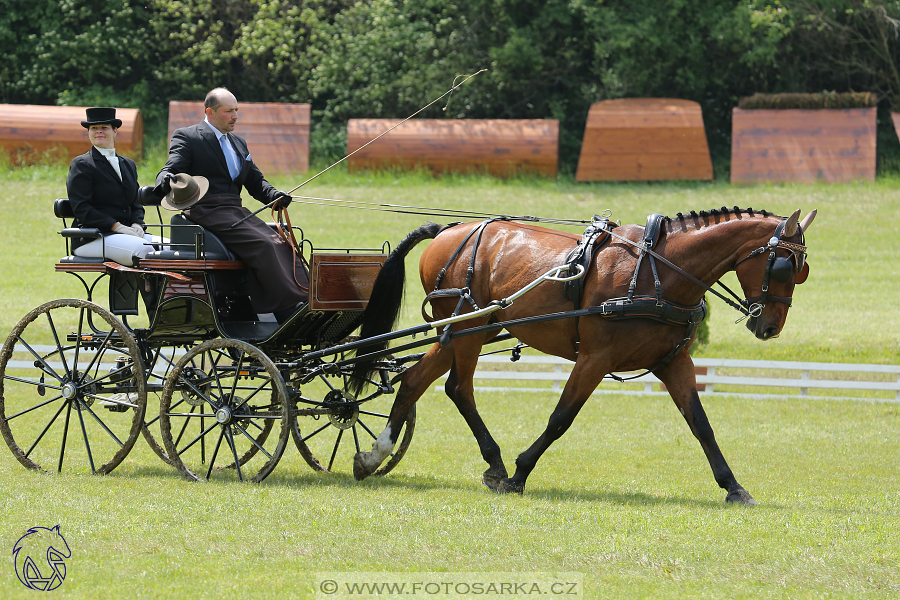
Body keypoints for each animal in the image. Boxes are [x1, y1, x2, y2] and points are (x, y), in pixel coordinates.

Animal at [348, 209, 812, 504]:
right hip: (467, 328)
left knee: (415, 381)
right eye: (785, 267)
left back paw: (375, 453)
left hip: (469, 328)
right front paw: (520, 473)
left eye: (801, 270)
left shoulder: (672, 361)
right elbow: (560, 418)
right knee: (459, 388)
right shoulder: (595, 358)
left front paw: (733, 486)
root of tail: (449, 229)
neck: (657, 271)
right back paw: (495, 463)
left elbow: (701, 424)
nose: (770, 327)